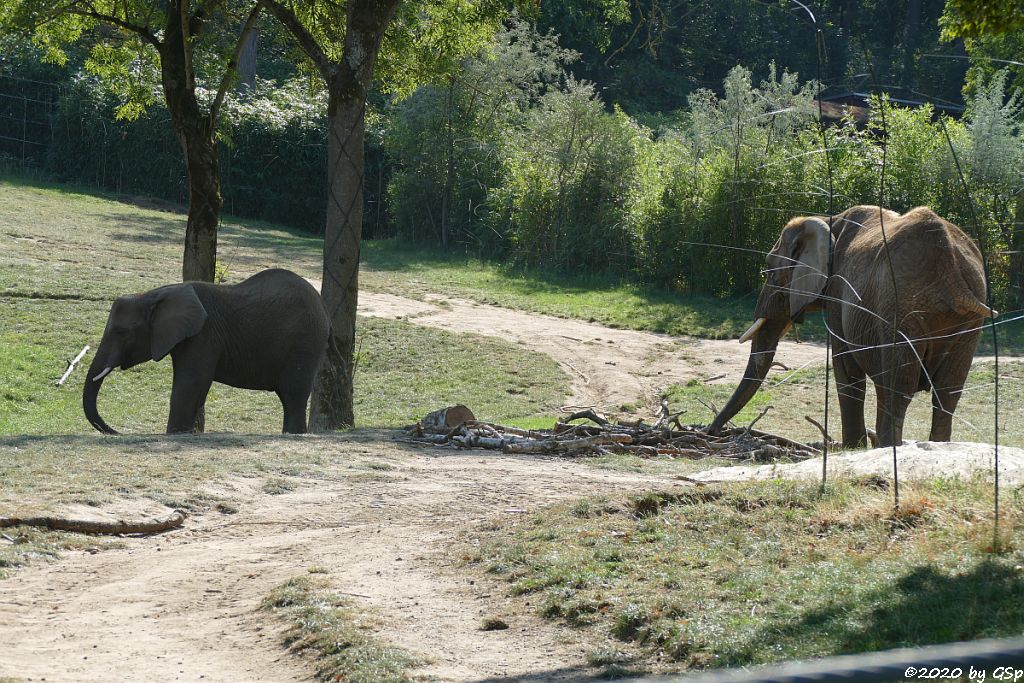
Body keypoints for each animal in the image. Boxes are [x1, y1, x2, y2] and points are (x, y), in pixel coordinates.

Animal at [85, 268, 331, 436]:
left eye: (121, 332)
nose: (117, 432)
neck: (154, 294)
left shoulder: (204, 335)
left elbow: (192, 383)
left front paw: (174, 434)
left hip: (305, 342)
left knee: (293, 395)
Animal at [704, 204, 991, 448]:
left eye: (770, 270)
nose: (710, 431)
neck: (828, 219)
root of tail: (949, 269)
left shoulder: (839, 290)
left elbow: (845, 366)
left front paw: (853, 448)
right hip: (966, 321)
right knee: (947, 391)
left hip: (900, 308)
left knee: (900, 387)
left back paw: (889, 448)